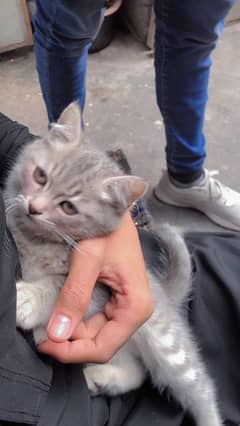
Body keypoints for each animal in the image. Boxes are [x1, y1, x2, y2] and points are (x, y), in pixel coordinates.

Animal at [4, 101, 221, 424]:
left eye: (68, 207)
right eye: (40, 176)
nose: (34, 207)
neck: (38, 241)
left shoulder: (102, 287)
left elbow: (58, 284)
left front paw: (26, 299)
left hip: (169, 345)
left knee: (201, 389)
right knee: (139, 370)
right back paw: (101, 378)